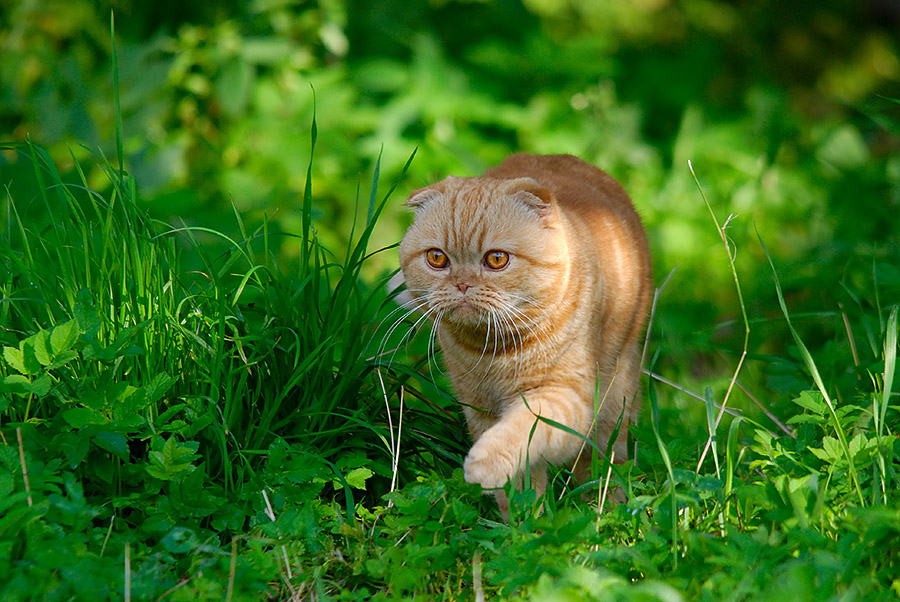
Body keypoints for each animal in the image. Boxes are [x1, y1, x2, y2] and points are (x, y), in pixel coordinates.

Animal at [396, 152, 648, 512]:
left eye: (496, 259)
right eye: (436, 258)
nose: (462, 284)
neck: (493, 350)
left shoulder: (566, 394)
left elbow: (523, 428)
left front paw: (486, 464)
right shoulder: (479, 407)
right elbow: (520, 484)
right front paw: (523, 518)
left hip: (615, 397)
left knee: (605, 460)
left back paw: (606, 505)